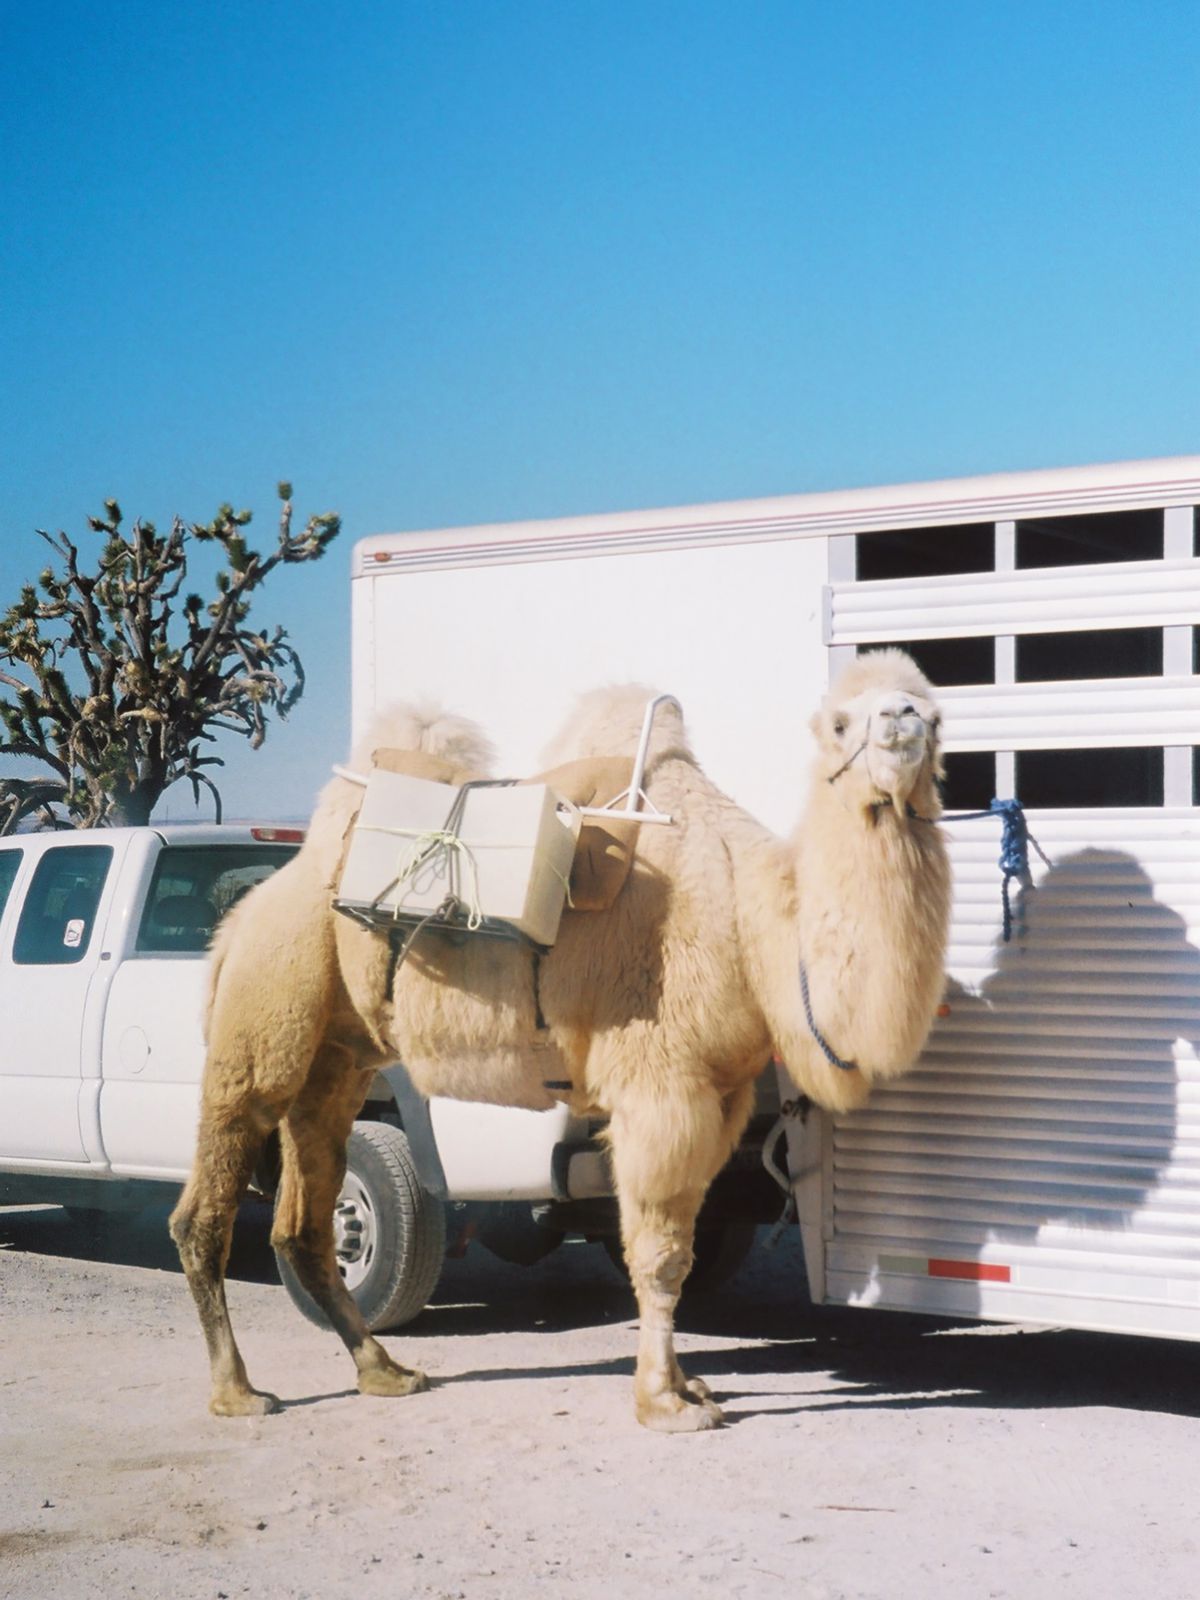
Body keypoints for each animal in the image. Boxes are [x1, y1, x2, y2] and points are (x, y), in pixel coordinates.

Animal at [169, 649, 953, 1440]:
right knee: (211, 1193)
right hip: (263, 1012)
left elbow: (682, 1241)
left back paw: (384, 1371)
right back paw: (237, 1390)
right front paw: (663, 1403)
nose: (903, 721)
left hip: (339, 1055)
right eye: (841, 722)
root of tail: (242, 916)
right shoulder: (659, 1086)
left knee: (305, 1218)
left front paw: (688, 1385)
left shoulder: (721, 1097)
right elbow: (660, 1255)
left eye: (934, 712)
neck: (751, 921)